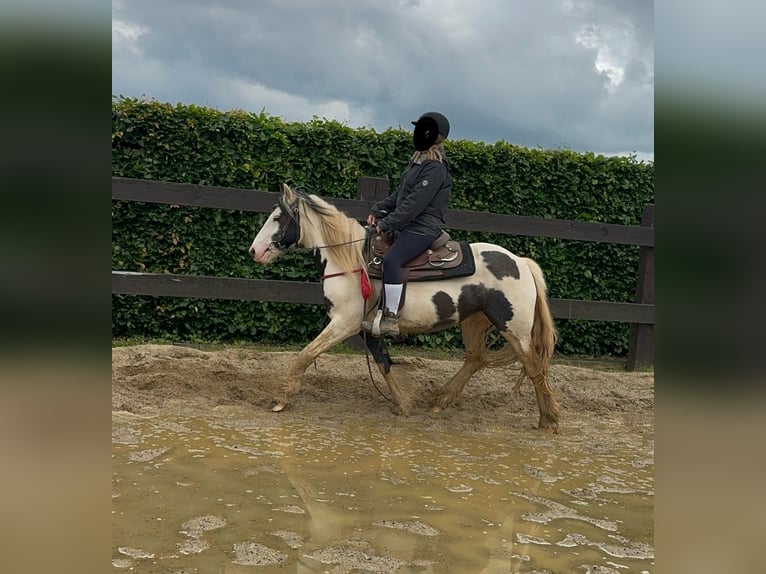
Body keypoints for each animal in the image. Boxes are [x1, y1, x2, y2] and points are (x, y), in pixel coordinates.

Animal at [249, 184, 560, 432]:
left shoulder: (344, 323)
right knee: (474, 359)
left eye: (277, 217)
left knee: (534, 367)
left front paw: (280, 399)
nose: (254, 251)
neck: (351, 260)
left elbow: (305, 355)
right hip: (475, 320)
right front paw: (403, 404)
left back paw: (548, 421)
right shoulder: (367, 328)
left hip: (514, 328)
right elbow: (383, 363)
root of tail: (521, 262)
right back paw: (441, 401)